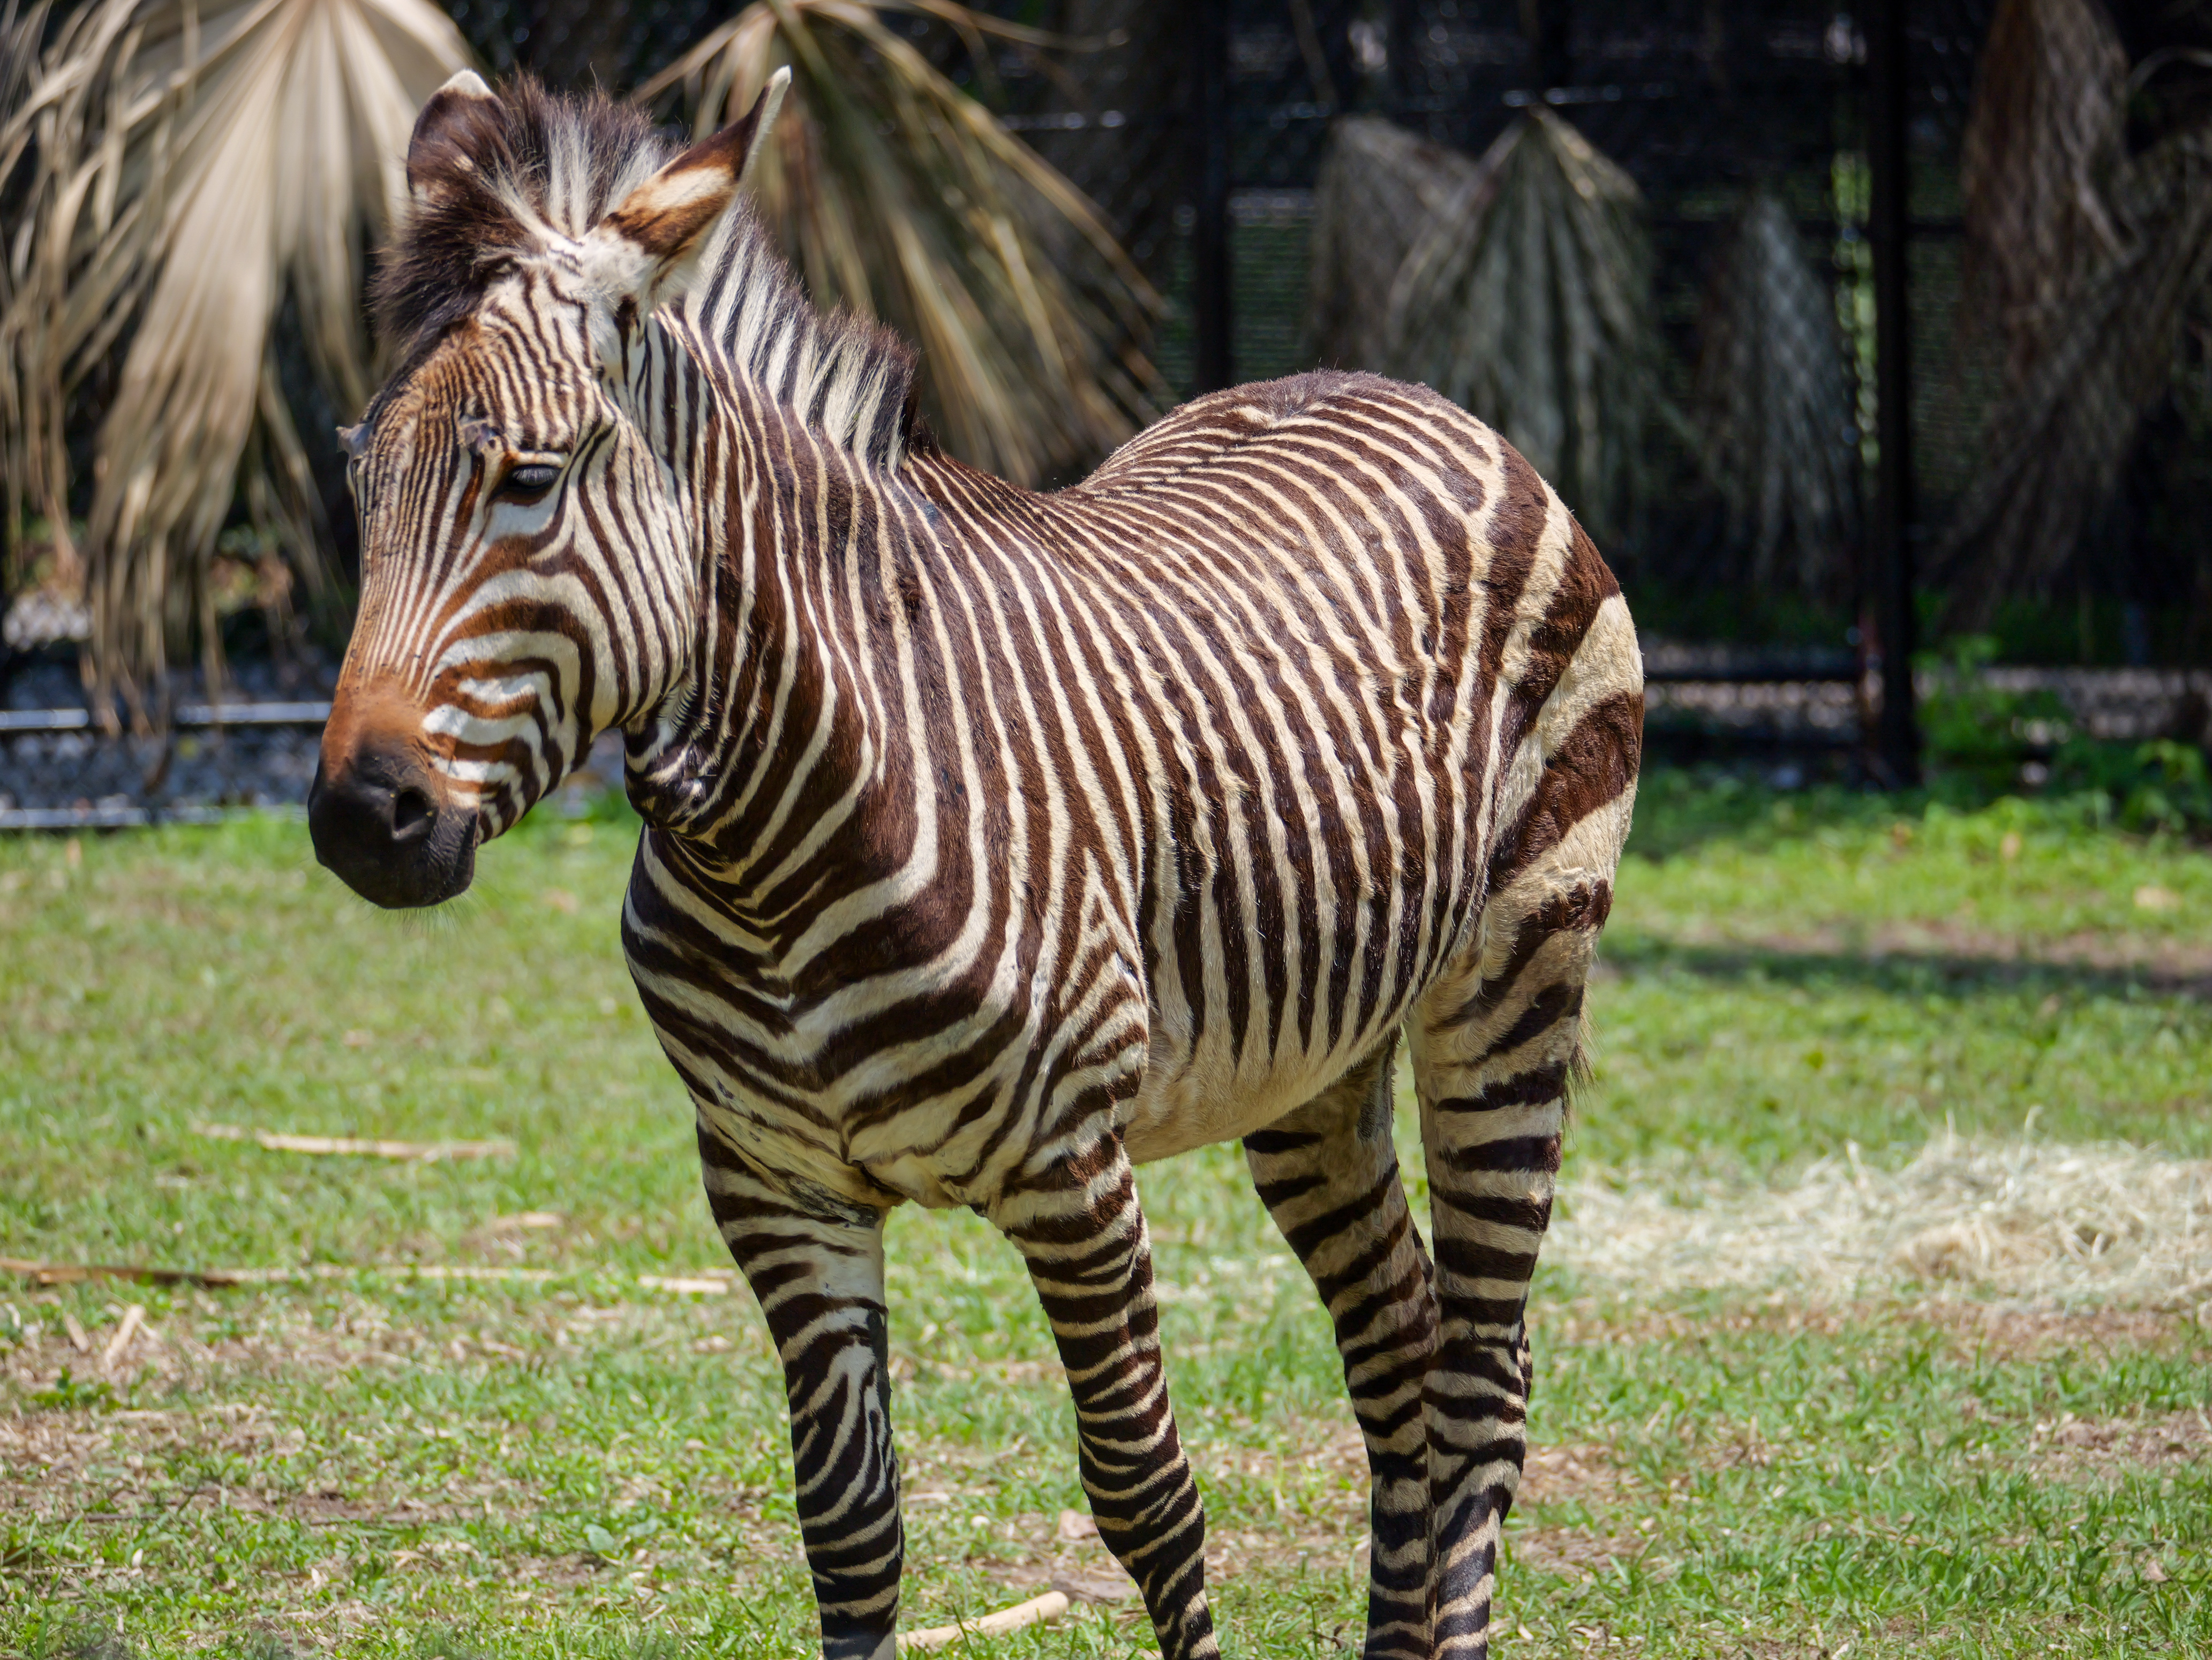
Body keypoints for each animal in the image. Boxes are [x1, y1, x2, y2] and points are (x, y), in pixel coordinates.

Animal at [309, 70, 1643, 1660]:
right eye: (360, 481)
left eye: (527, 478)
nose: (361, 817)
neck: (768, 854)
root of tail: (1407, 390)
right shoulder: (774, 1186)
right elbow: (848, 1522)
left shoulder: (1074, 1171)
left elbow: (1145, 1494)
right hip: (1313, 1056)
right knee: (1399, 1350)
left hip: (1516, 976)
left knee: (1483, 1379)